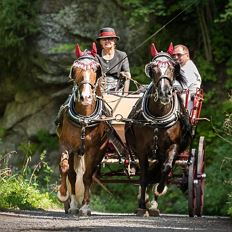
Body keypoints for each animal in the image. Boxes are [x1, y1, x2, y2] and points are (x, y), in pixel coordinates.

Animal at [56, 43, 110, 216]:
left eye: (96, 69)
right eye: (75, 69)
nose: (85, 97)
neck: (84, 120)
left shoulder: (93, 149)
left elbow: (86, 177)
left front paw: (85, 206)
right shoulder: (65, 144)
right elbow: (65, 168)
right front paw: (63, 194)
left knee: (89, 175)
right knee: (73, 175)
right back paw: (72, 204)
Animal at [125, 42, 192, 216]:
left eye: (172, 67)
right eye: (153, 68)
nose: (164, 92)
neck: (158, 117)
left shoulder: (173, 145)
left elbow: (166, 168)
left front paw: (159, 190)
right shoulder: (142, 149)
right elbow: (143, 176)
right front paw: (142, 204)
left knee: (161, 171)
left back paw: (154, 203)